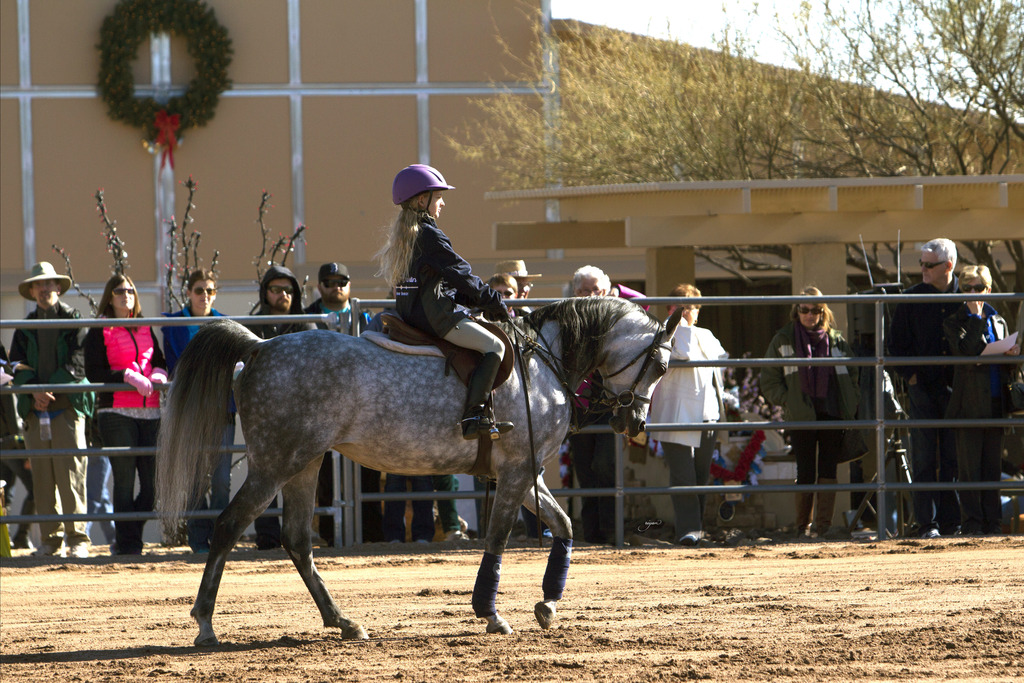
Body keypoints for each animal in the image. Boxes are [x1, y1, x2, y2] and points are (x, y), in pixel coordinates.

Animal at [156, 296, 682, 646]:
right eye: (659, 365)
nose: (634, 423)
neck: (541, 365)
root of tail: (259, 347)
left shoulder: (526, 473)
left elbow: (564, 524)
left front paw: (548, 603)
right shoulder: (517, 472)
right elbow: (498, 538)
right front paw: (490, 613)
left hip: (305, 464)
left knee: (297, 540)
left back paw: (343, 622)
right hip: (274, 464)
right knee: (228, 527)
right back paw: (205, 624)